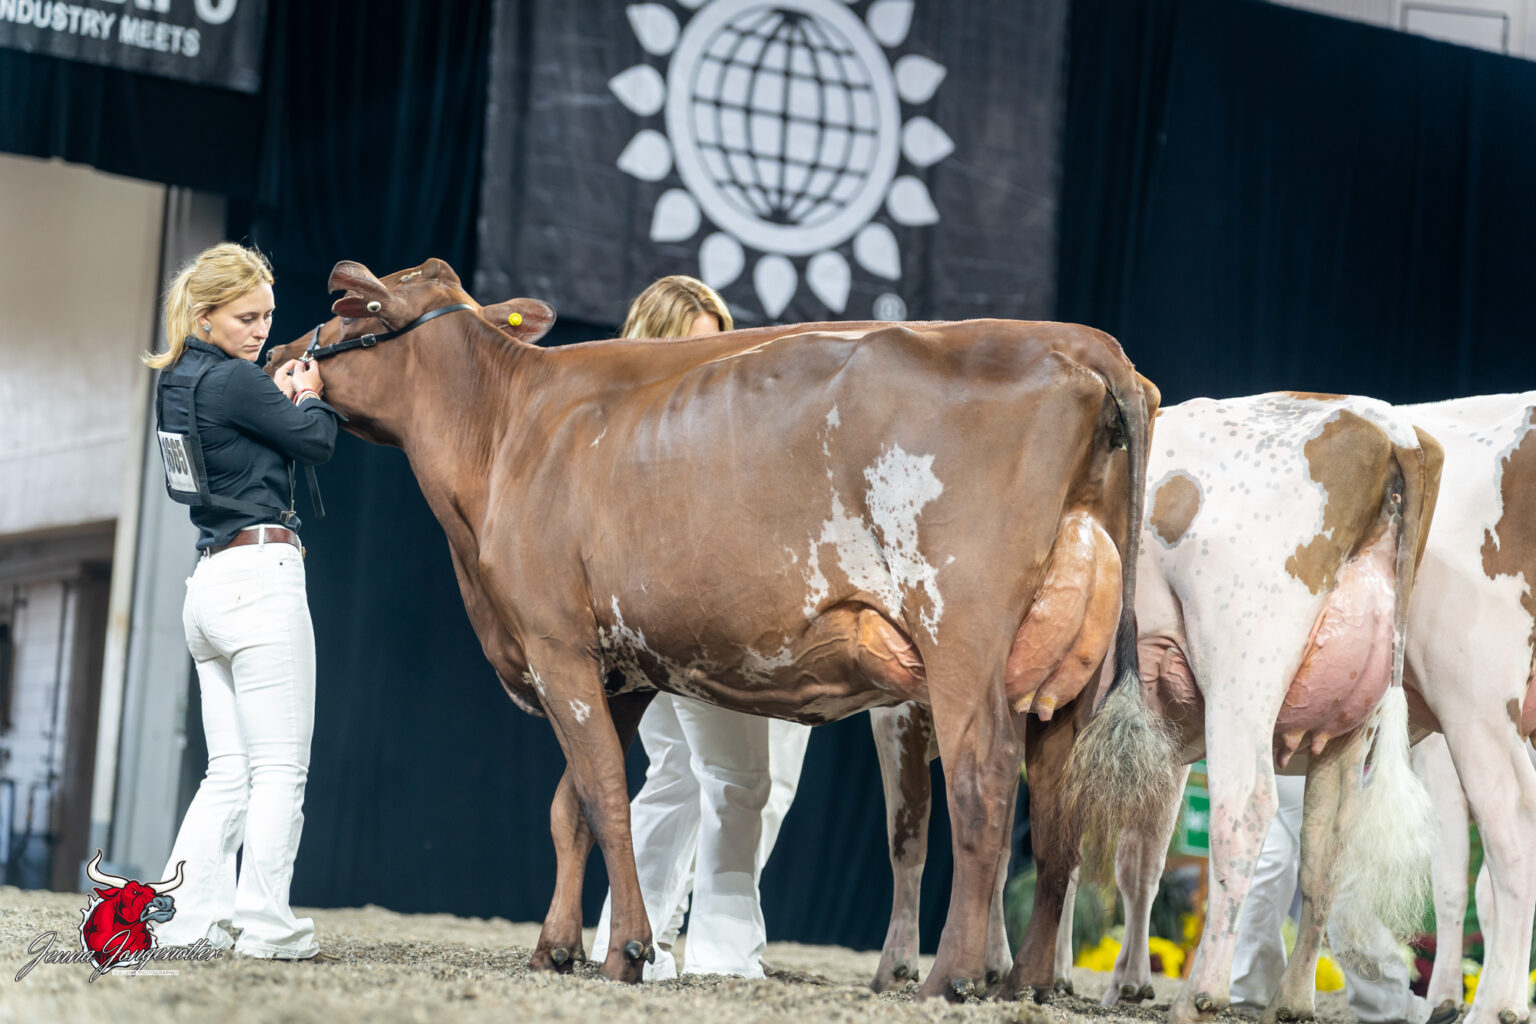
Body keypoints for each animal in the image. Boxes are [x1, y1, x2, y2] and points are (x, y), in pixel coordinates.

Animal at [263, 257, 1156, 999]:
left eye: (347, 309)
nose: (279, 353)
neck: (509, 430)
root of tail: (1083, 341)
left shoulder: (555, 645)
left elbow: (604, 793)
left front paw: (626, 950)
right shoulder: (620, 667)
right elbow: (569, 807)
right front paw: (557, 946)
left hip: (960, 635)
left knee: (984, 783)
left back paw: (952, 978)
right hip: (1066, 671)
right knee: (1062, 816)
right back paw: (1028, 983)